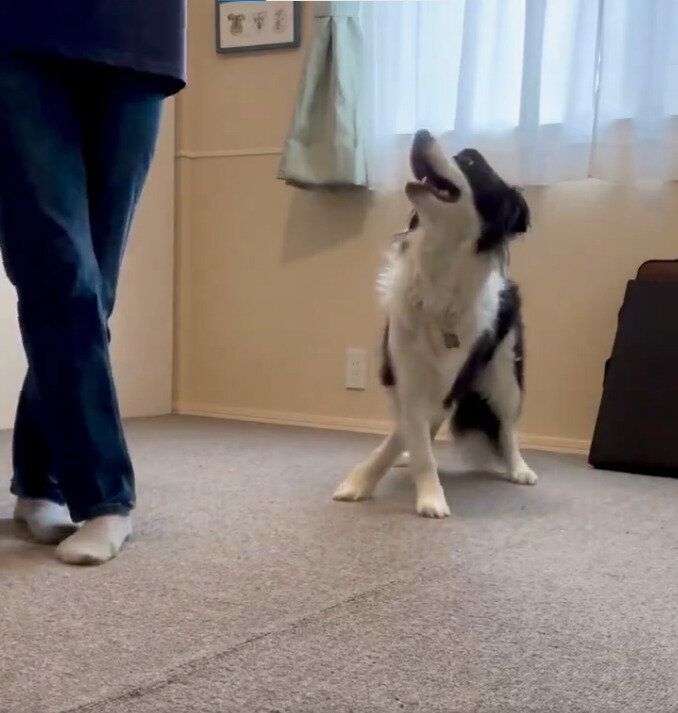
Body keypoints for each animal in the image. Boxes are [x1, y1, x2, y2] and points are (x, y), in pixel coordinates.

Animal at [333, 130, 537, 518]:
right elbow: (410, 430)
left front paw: (429, 497)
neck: (440, 269)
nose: (421, 133)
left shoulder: (452, 374)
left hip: (504, 370)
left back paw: (519, 468)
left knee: (506, 423)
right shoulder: (405, 369)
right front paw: (364, 481)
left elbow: (417, 428)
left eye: (469, 160)